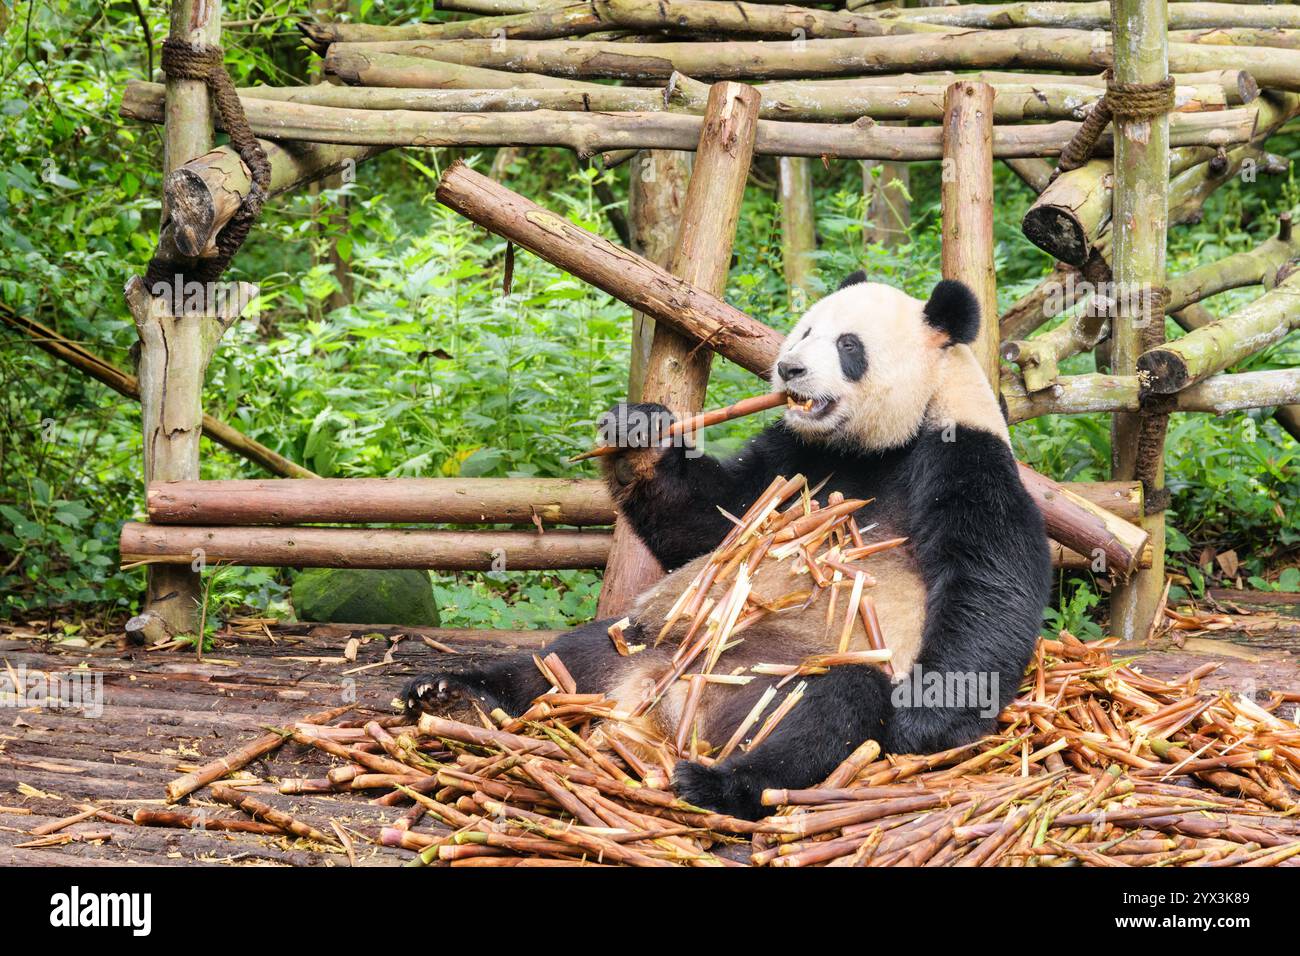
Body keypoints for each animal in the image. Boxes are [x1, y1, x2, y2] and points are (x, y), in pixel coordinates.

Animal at [400, 273, 1050, 816]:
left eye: (848, 346)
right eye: (805, 329)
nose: (789, 369)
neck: (875, 446)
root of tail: (662, 714)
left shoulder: (960, 454)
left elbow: (989, 583)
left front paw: (926, 721)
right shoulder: (798, 457)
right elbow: (716, 524)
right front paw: (639, 435)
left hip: (782, 676)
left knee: (828, 710)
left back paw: (718, 782)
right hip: (645, 641)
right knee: (562, 660)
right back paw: (453, 695)